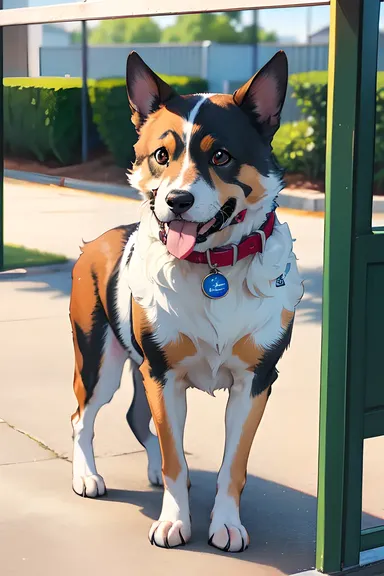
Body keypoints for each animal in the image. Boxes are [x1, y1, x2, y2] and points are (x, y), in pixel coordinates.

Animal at [69, 50, 304, 552]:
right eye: (162, 155)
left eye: (221, 155)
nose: (177, 200)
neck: (214, 264)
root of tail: (94, 243)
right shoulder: (164, 376)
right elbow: (176, 457)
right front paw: (173, 521)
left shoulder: (254, 383)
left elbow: (232, 465)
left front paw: (227, 524)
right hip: (99, 361)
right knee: (84, 416)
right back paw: (87, 476)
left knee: (140, 420)